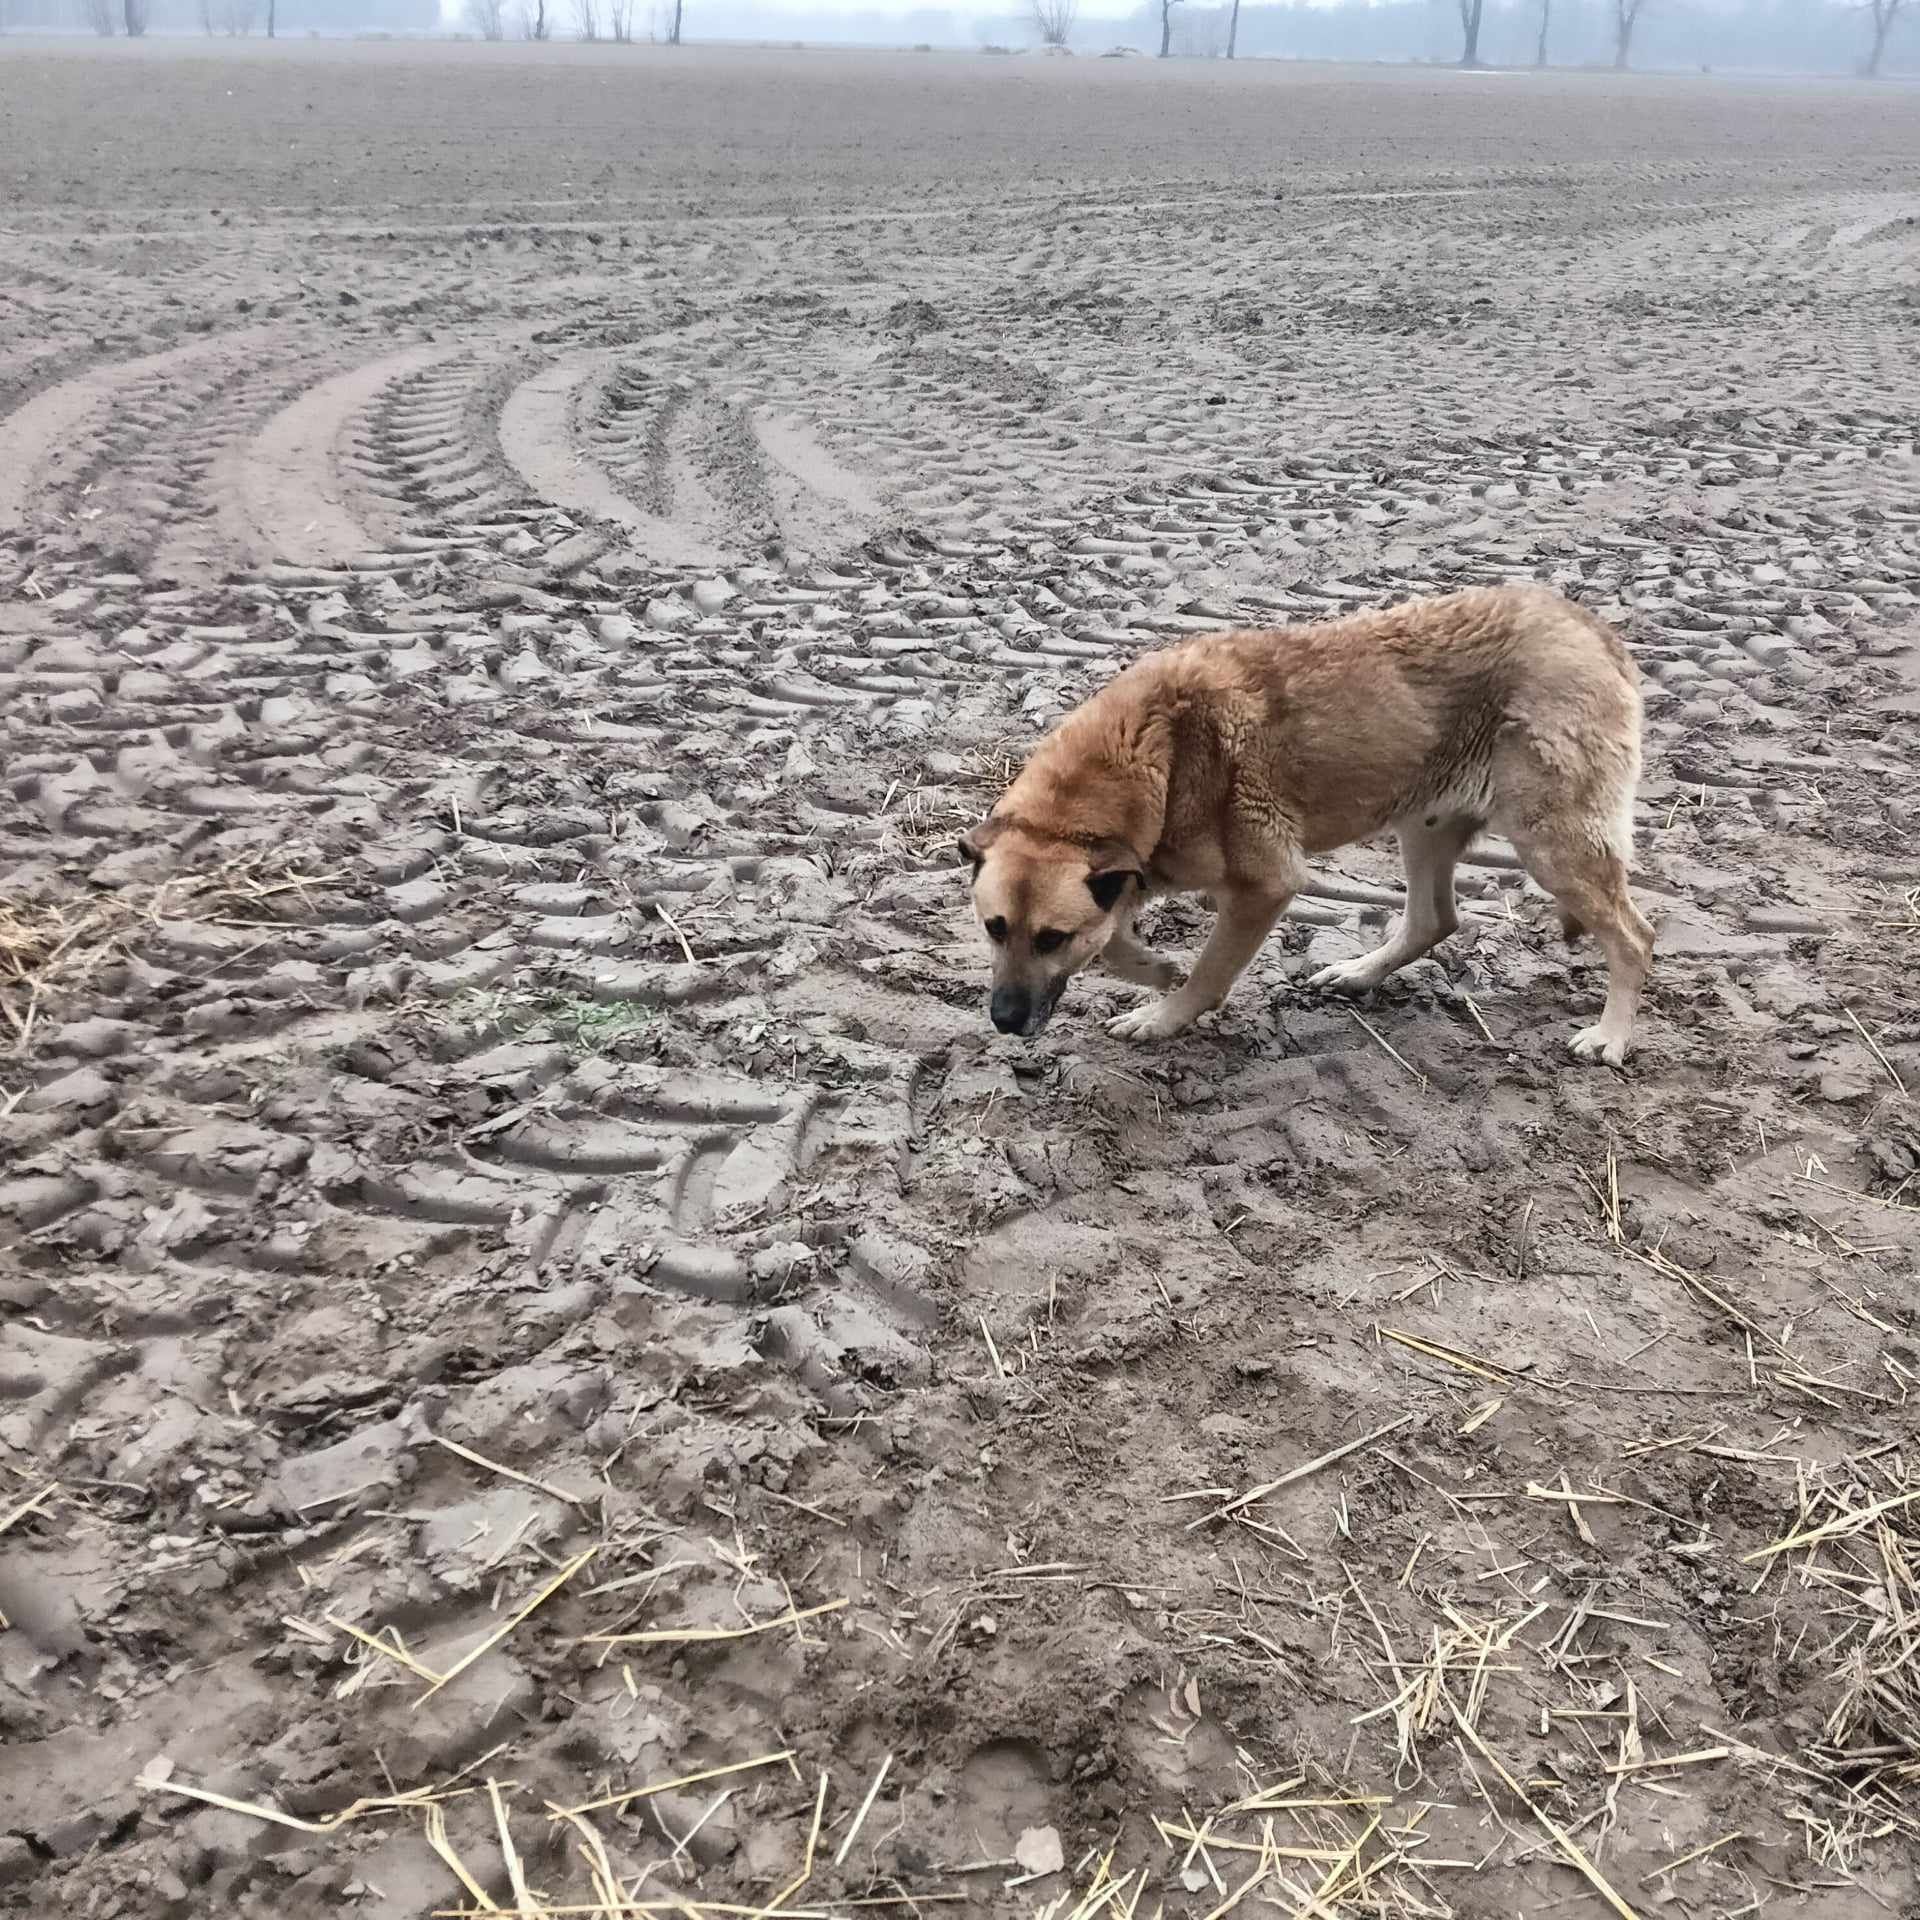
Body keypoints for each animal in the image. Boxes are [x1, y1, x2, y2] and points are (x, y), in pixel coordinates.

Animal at [960, 583, 1651, 1067]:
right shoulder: (1128, 868)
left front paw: (1163, 1015)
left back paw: (1610, 1036)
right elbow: (1116, 938)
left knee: (1634, 938)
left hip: (1551, 842)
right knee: (1433, 920)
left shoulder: (1263, 886)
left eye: (1051, 938)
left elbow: (1208, 974)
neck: (1154, 757)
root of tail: (1593, 628)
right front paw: (1153, 970)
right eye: (994, 929)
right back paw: (1359, 972)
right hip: (1425, 824)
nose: (1002, 1020)